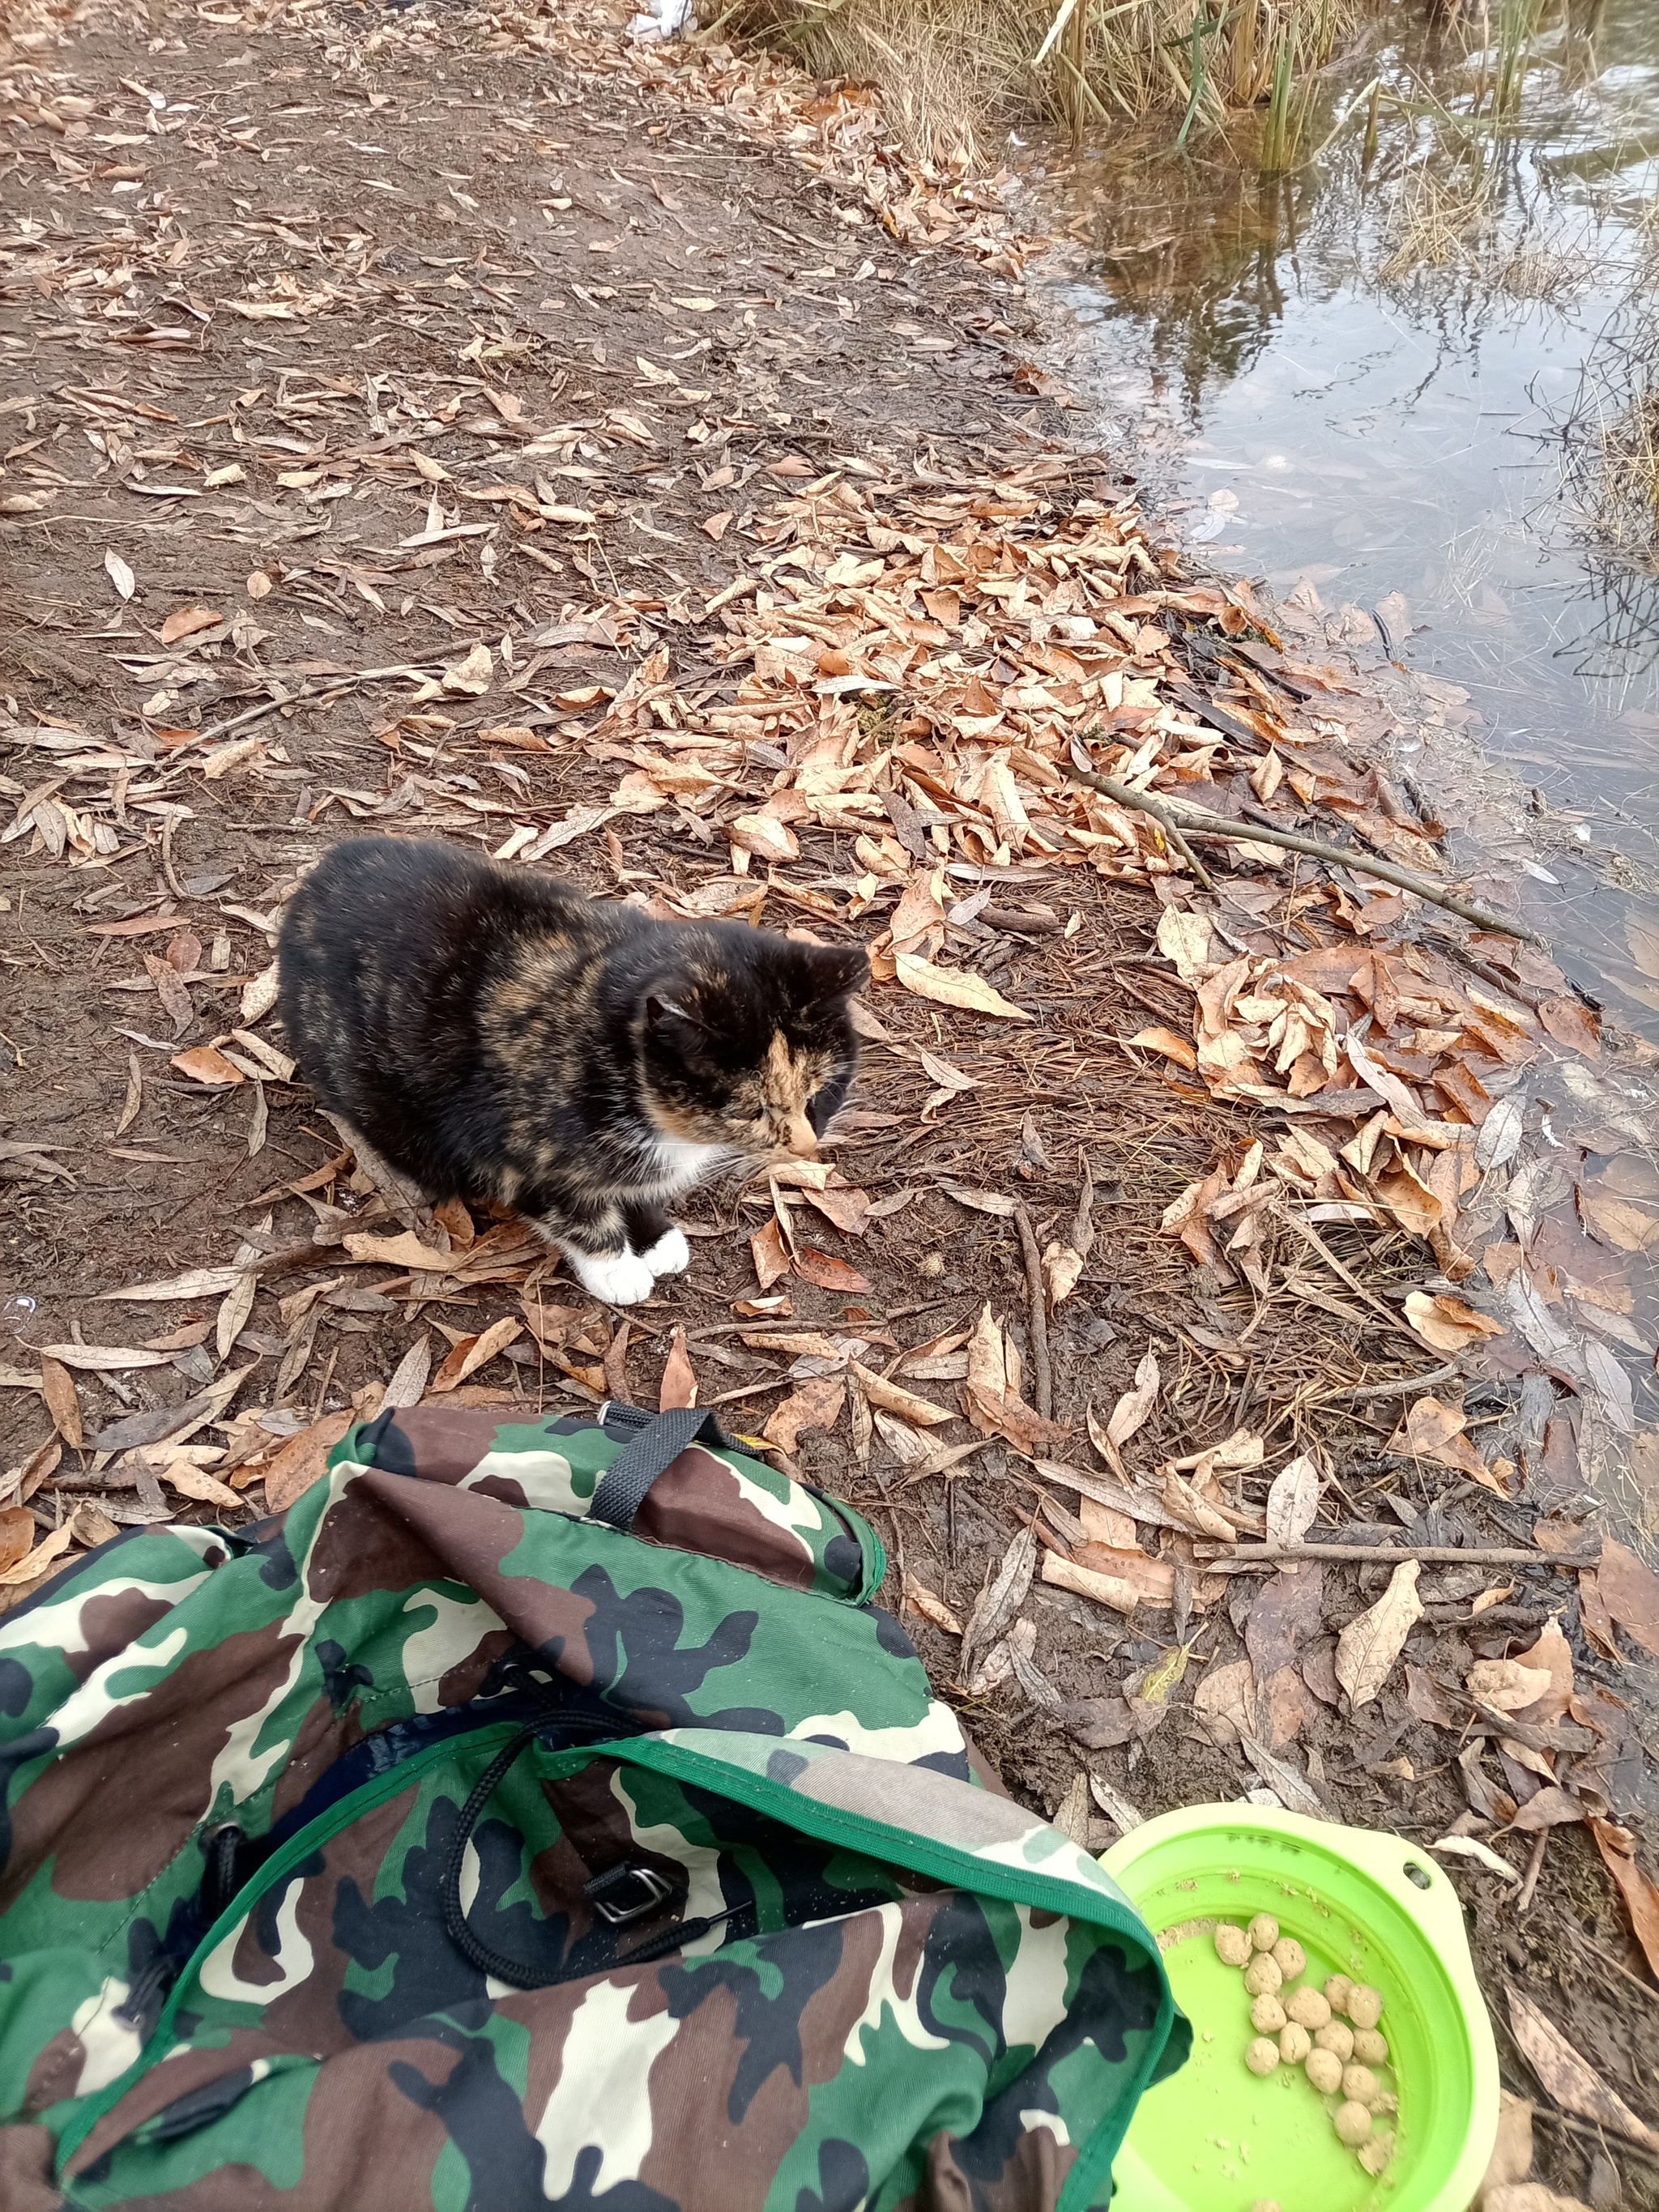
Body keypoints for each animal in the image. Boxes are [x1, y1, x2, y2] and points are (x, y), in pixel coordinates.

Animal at [276, 840, 871, 1291]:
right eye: (751, 1110)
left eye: (818, 1094)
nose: (805, 1147)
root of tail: (318, 878)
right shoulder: (512, 1149)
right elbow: (577, 1212)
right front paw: (617, 1270)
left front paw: (655, 1236)